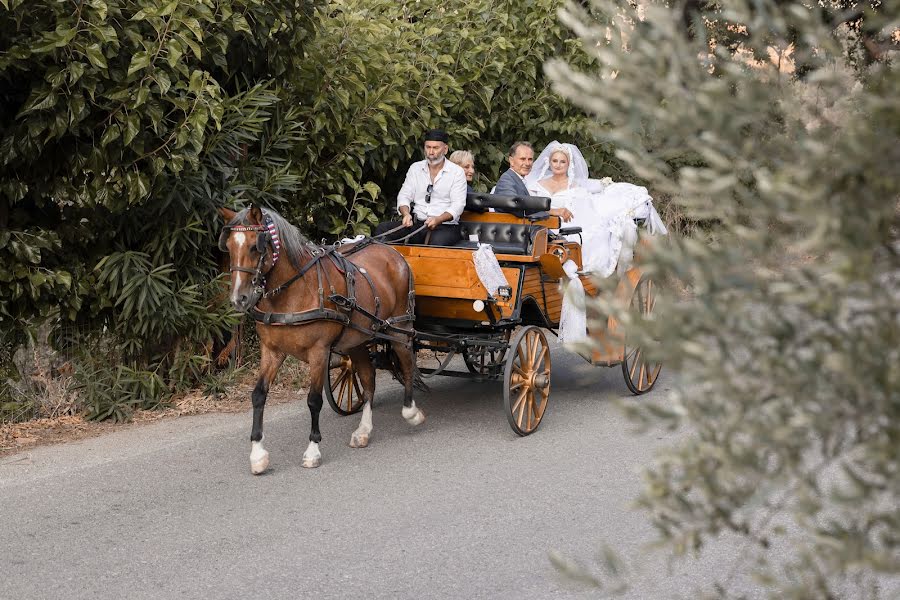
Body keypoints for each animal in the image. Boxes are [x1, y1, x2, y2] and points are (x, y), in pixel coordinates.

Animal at [220, 205, 428, 474]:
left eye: (256, 246)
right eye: (229, 246)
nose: (239, 298)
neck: (294, 290)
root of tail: (393, 251)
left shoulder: (319, 351)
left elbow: (314, 400)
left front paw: (313, 450)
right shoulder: (272, 350)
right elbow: (258, 395)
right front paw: (257, 455)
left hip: (399, 328)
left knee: (407, 364)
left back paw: (411, 412)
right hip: (357, 339)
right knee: (368, 378)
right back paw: (363, 430)